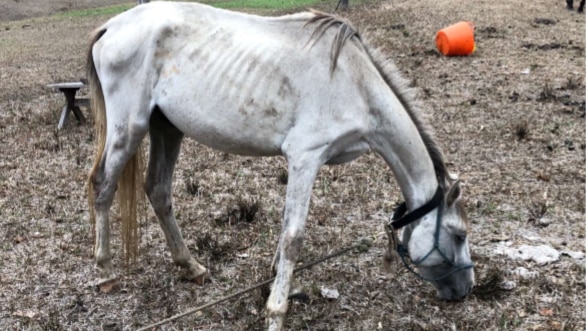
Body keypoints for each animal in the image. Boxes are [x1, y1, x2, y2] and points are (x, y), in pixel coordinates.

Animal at [86, 1, 474, 330]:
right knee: (103, 186)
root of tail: (110, 27)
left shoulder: (302, 163)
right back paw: (105, 272)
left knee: (158, 190)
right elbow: (293, 237)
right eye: (459, 235)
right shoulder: (305, 157)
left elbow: (286, 227)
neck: (354, 83)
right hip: (130, 128)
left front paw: (279, 282)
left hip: (167, 128)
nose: (466, 289)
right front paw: (276, 311)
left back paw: (191, 266)